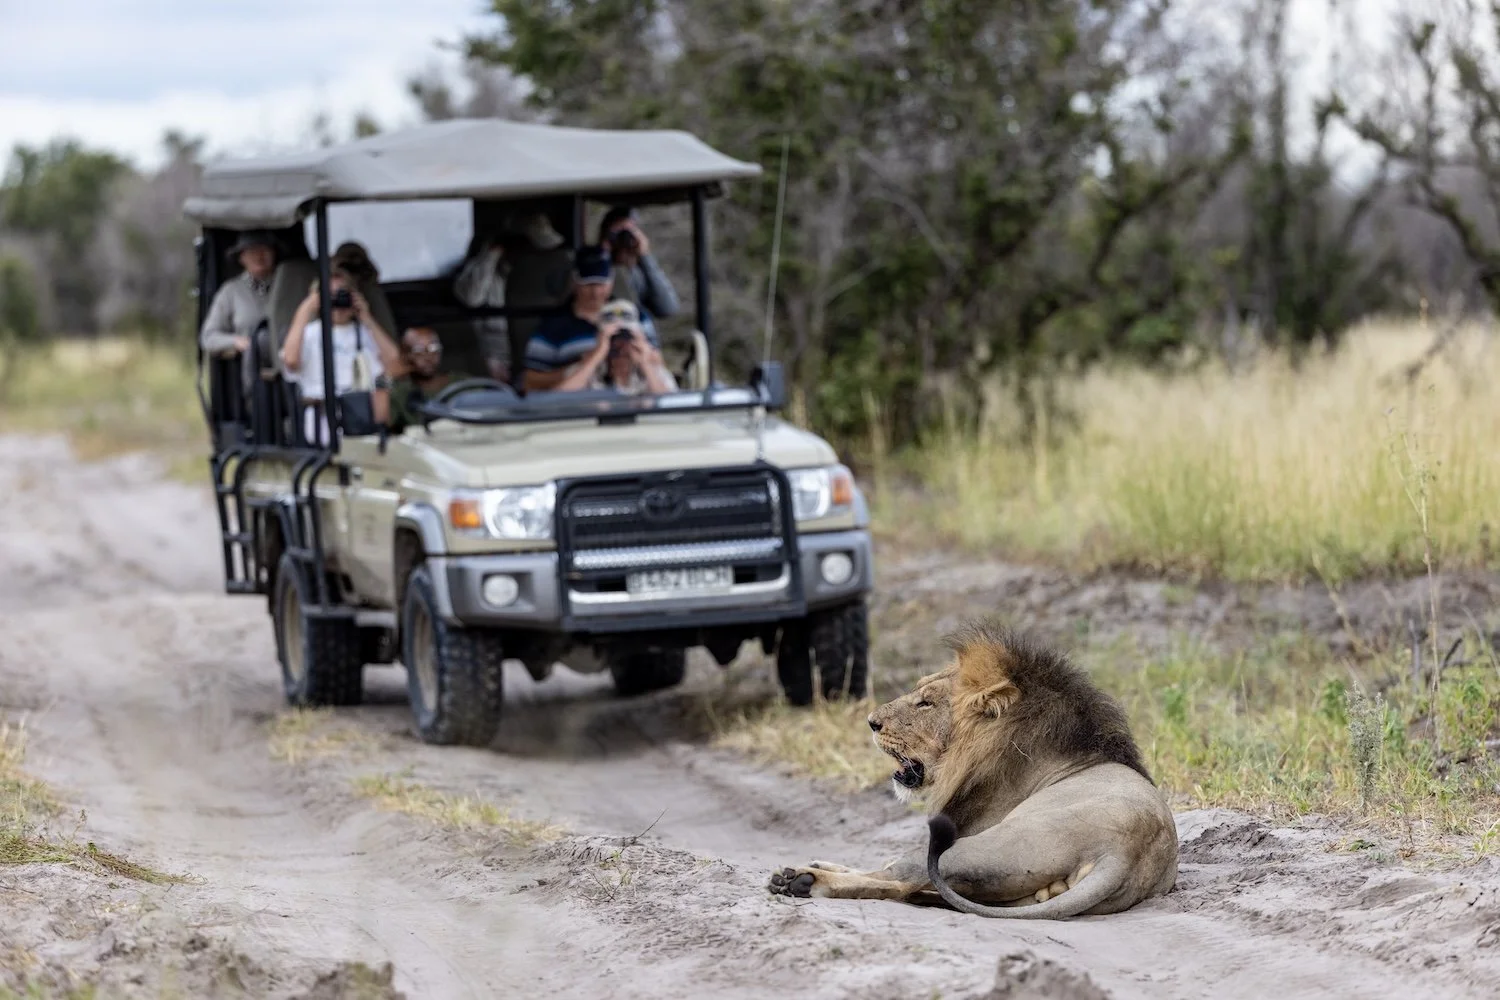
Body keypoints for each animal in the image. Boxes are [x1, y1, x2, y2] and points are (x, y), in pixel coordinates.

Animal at [767, 623, 1177, 918]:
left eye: (926, 703)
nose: (871, 722)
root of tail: (1122, 855)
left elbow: (890, 869)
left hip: (976, 847)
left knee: (901, 877)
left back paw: (802, 880)